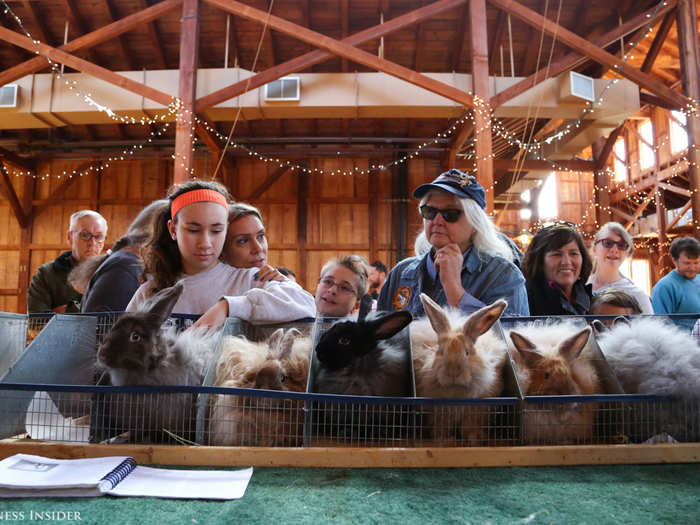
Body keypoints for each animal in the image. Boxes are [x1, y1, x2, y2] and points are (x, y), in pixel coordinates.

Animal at [410, 292, 508, 444]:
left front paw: (473, 440)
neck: (455, 392)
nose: (453, 373)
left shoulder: (475, 413)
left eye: (467, 352)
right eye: (441, 351)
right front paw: (445, 440)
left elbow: (471, 427)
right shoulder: (439, 414)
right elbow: (441, 427)